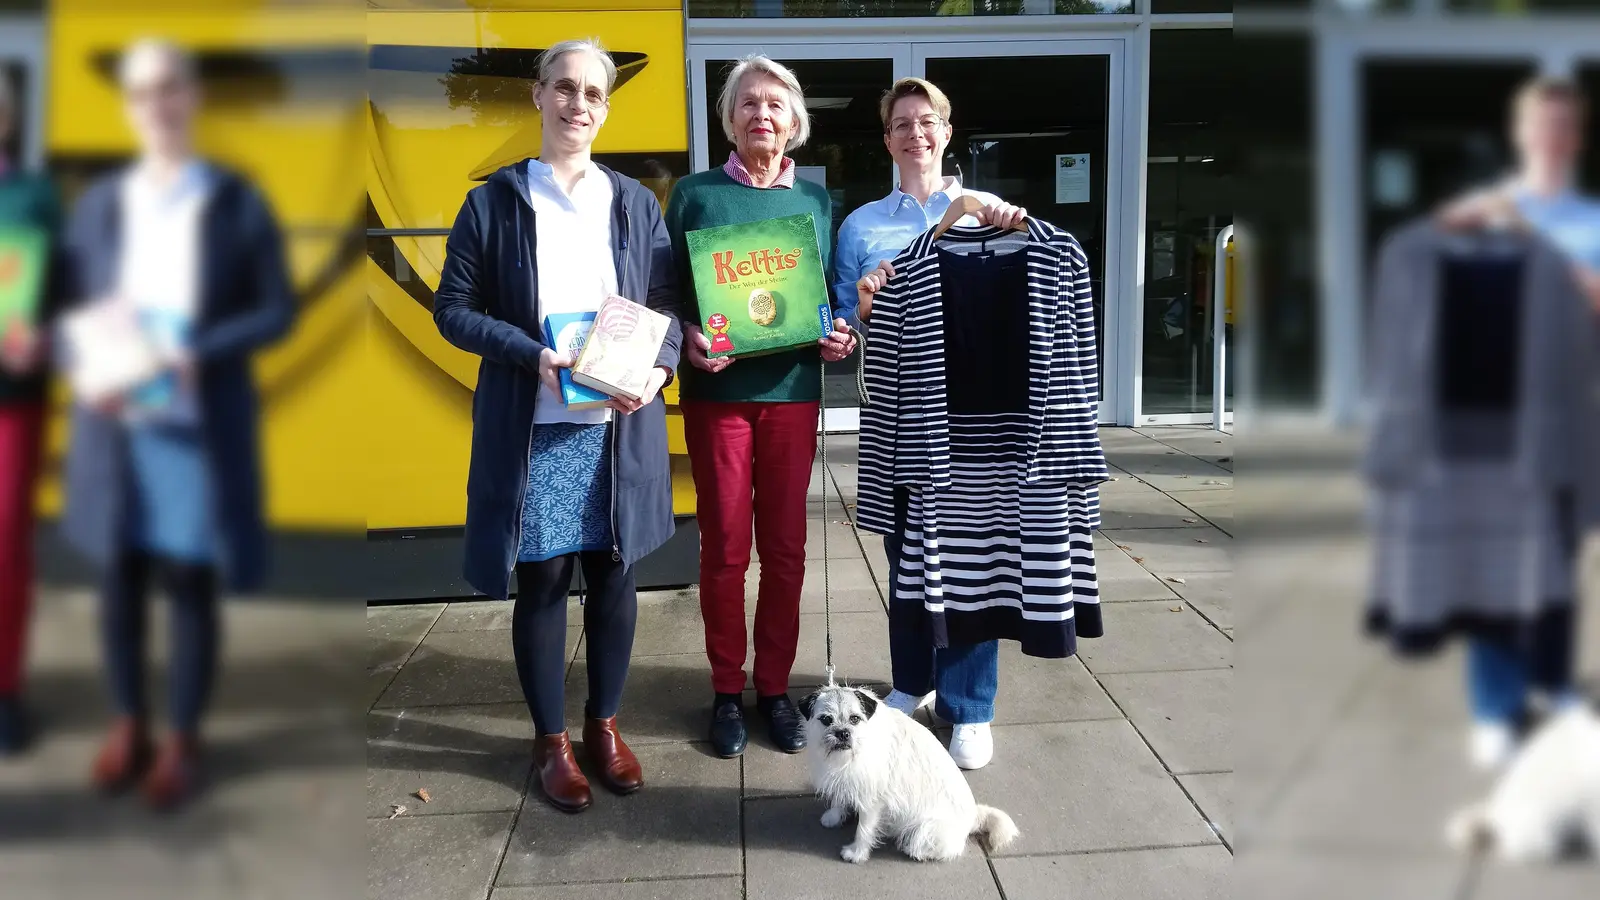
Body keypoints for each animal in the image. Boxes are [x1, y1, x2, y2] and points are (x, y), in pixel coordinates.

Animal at [796, 682, 1017, 858]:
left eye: (855, 719)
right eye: (826, 719)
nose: (842, 733)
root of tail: (973, 817)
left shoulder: (872, 801)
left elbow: (864, 829)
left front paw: (857, 853)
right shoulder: (846, 777)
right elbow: (839, 797)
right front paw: (834, 816)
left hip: (925, 830)